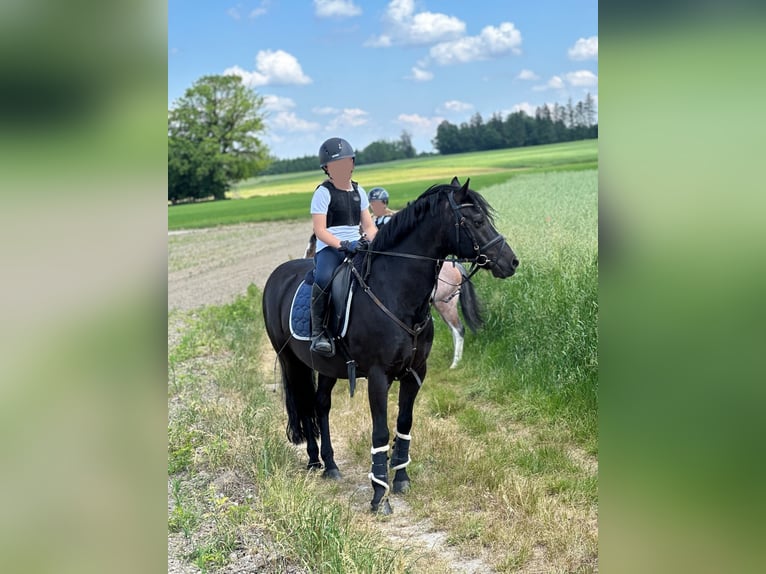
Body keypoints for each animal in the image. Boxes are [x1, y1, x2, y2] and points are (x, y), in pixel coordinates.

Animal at [260, 178, 520, 516]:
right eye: (476, 221)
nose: (511, 262)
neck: (397, 294)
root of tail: (277, 275)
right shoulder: (378, 376)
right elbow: (380, 431)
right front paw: (378, 494)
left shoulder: (415, 373)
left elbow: (403, 423)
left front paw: (401, 480)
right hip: (292, 360)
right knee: (304, 404)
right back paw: (315, 461)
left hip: (327, 367)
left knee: (320, 404)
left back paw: (330, 465)